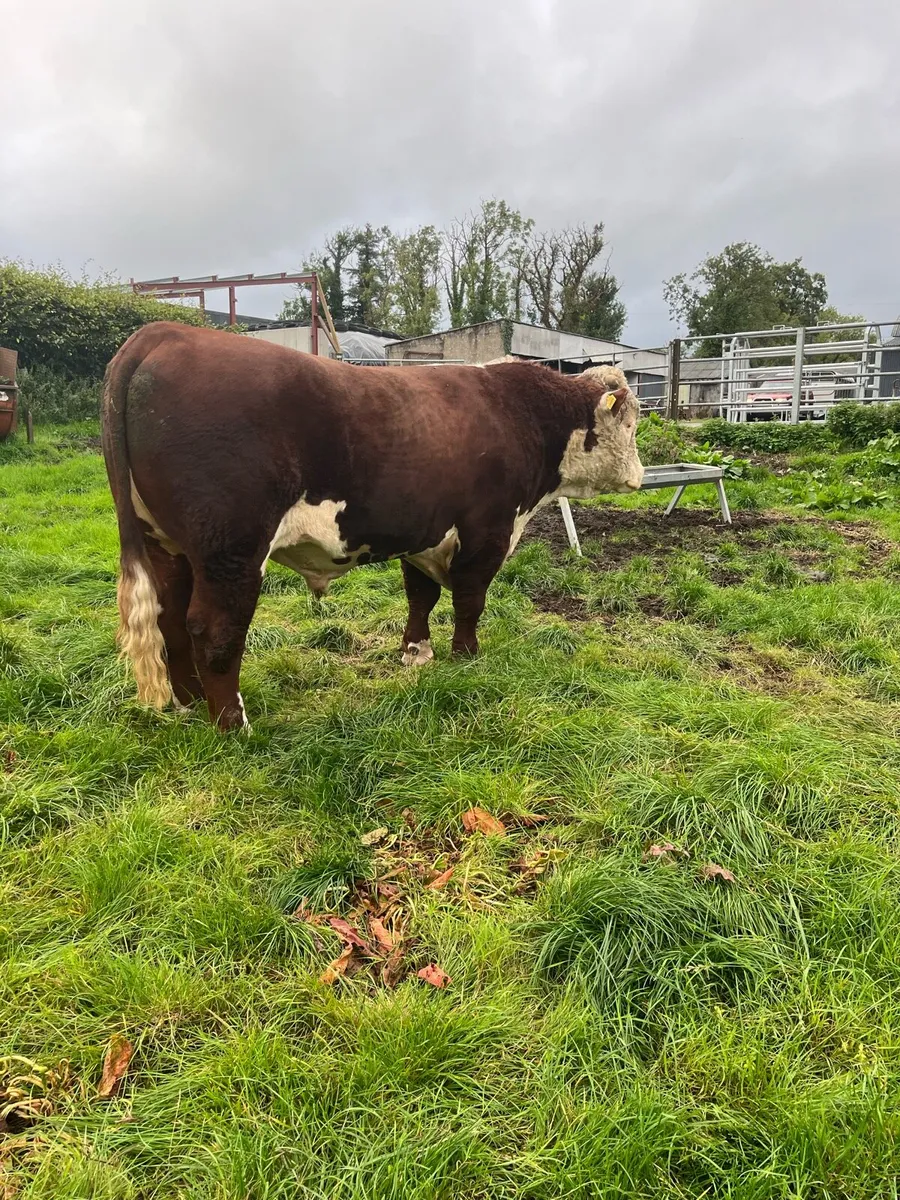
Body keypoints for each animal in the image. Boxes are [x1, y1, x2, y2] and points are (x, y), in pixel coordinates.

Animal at [102, 322, 643, 731]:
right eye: (632, 422)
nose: (639, 475)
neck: (523, 416)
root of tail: (164, 332)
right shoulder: (487, 531)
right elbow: (470, 601)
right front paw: (466, 657)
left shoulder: (424, 532)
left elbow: (421, 596)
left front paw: (416, 653)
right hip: (230, 549)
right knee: (214, 629)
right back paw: (233, 724)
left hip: (167, 544)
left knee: (170, 619)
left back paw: (188, 704)